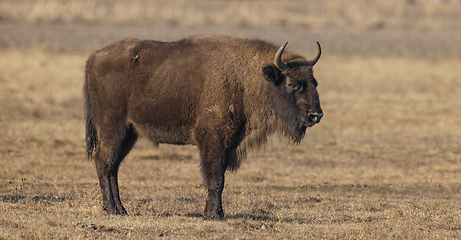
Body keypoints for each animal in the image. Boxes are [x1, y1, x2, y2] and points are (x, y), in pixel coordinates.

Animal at [84, 33, 322, 219]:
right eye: (293, 84)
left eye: (315, 83)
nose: (316, 115)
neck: (245, 77)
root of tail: (93, 58)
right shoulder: (213, 140)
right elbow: (216, 179)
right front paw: (214, 214)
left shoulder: (229, 142)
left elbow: (219, 177)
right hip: (113, 127)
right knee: (104, 162)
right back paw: (113, 210)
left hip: (129, 133)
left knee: (113, 166)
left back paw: (120, 209)